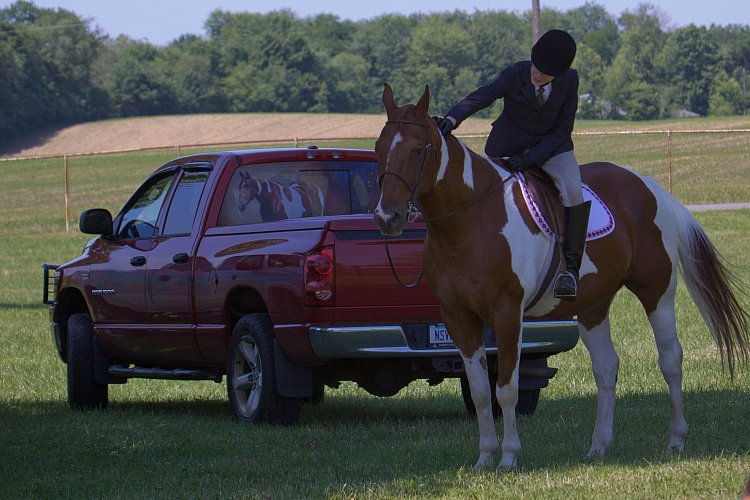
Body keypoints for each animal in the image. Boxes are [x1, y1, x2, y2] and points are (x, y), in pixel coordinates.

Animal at [374, 81, 748, 468]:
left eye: (418, 150)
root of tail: (650, 186)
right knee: (606, 367)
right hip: (592, 306)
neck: (471, 219)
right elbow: (479, 393)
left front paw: (508, 457)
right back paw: (598, 447)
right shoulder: (457, 318)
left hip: (657, 293)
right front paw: (485, 458)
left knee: (671, 359)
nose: (387, 217)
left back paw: (676, 439)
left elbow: (505, 389)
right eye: (378, 148)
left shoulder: (507, 314)